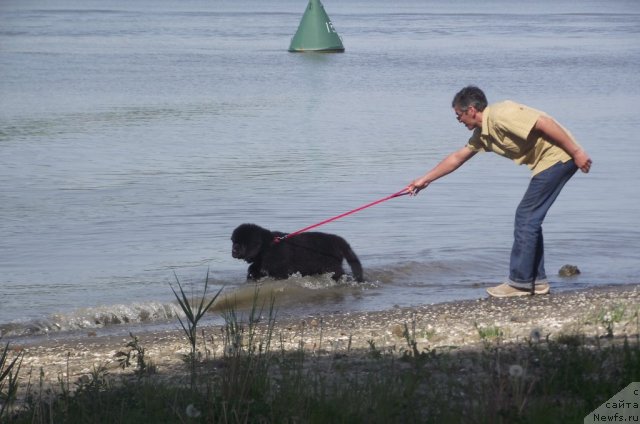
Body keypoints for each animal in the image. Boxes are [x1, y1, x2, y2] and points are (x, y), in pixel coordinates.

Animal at [230, 224, 362, 284]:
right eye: (234, 242)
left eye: (239, 244)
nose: (233, 251)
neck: (266, 247)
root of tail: (337, 240)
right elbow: (253, 269)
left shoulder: (280, 271)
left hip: (331, 266)